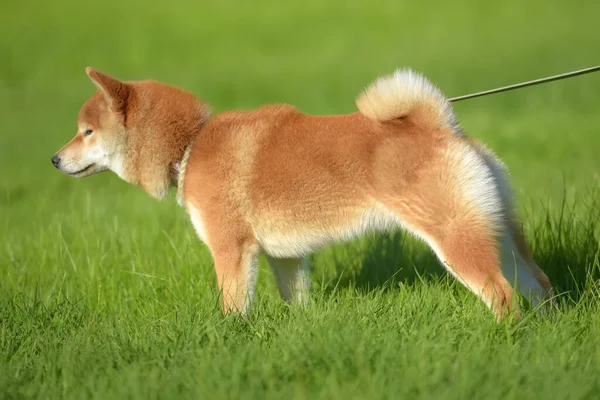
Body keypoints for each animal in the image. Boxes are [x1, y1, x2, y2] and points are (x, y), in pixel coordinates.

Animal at [51, 67, 552, 320]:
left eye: (86, 131)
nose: (55, 159)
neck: (191, 143)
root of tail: (440, 125)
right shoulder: (284, 256)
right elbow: (297, 300)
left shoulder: (230, 248)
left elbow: (233, 307)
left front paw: (230, 337)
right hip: (498, 233)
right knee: (537, 283)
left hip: (455, 239)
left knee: (503, 296)